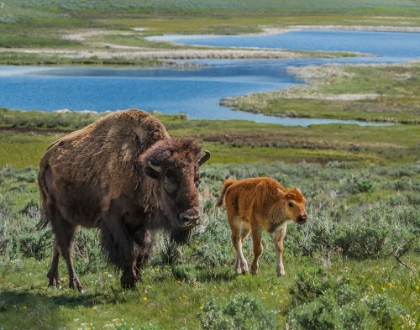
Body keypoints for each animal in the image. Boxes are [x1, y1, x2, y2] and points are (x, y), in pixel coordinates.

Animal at [37, 109, 210, 292]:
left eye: (197, 180)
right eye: (168, 181)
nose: (191, 218)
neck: (141, 168)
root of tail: (46, 158)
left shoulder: (142, 223)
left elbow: (142, 250)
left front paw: (137, 280)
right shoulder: (114, 219)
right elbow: (130, 250)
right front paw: (129, 281)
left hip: (69, 218)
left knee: (58, 244)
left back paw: (54, 280)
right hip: (58, 214)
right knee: (66, 247)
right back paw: (76, 284)